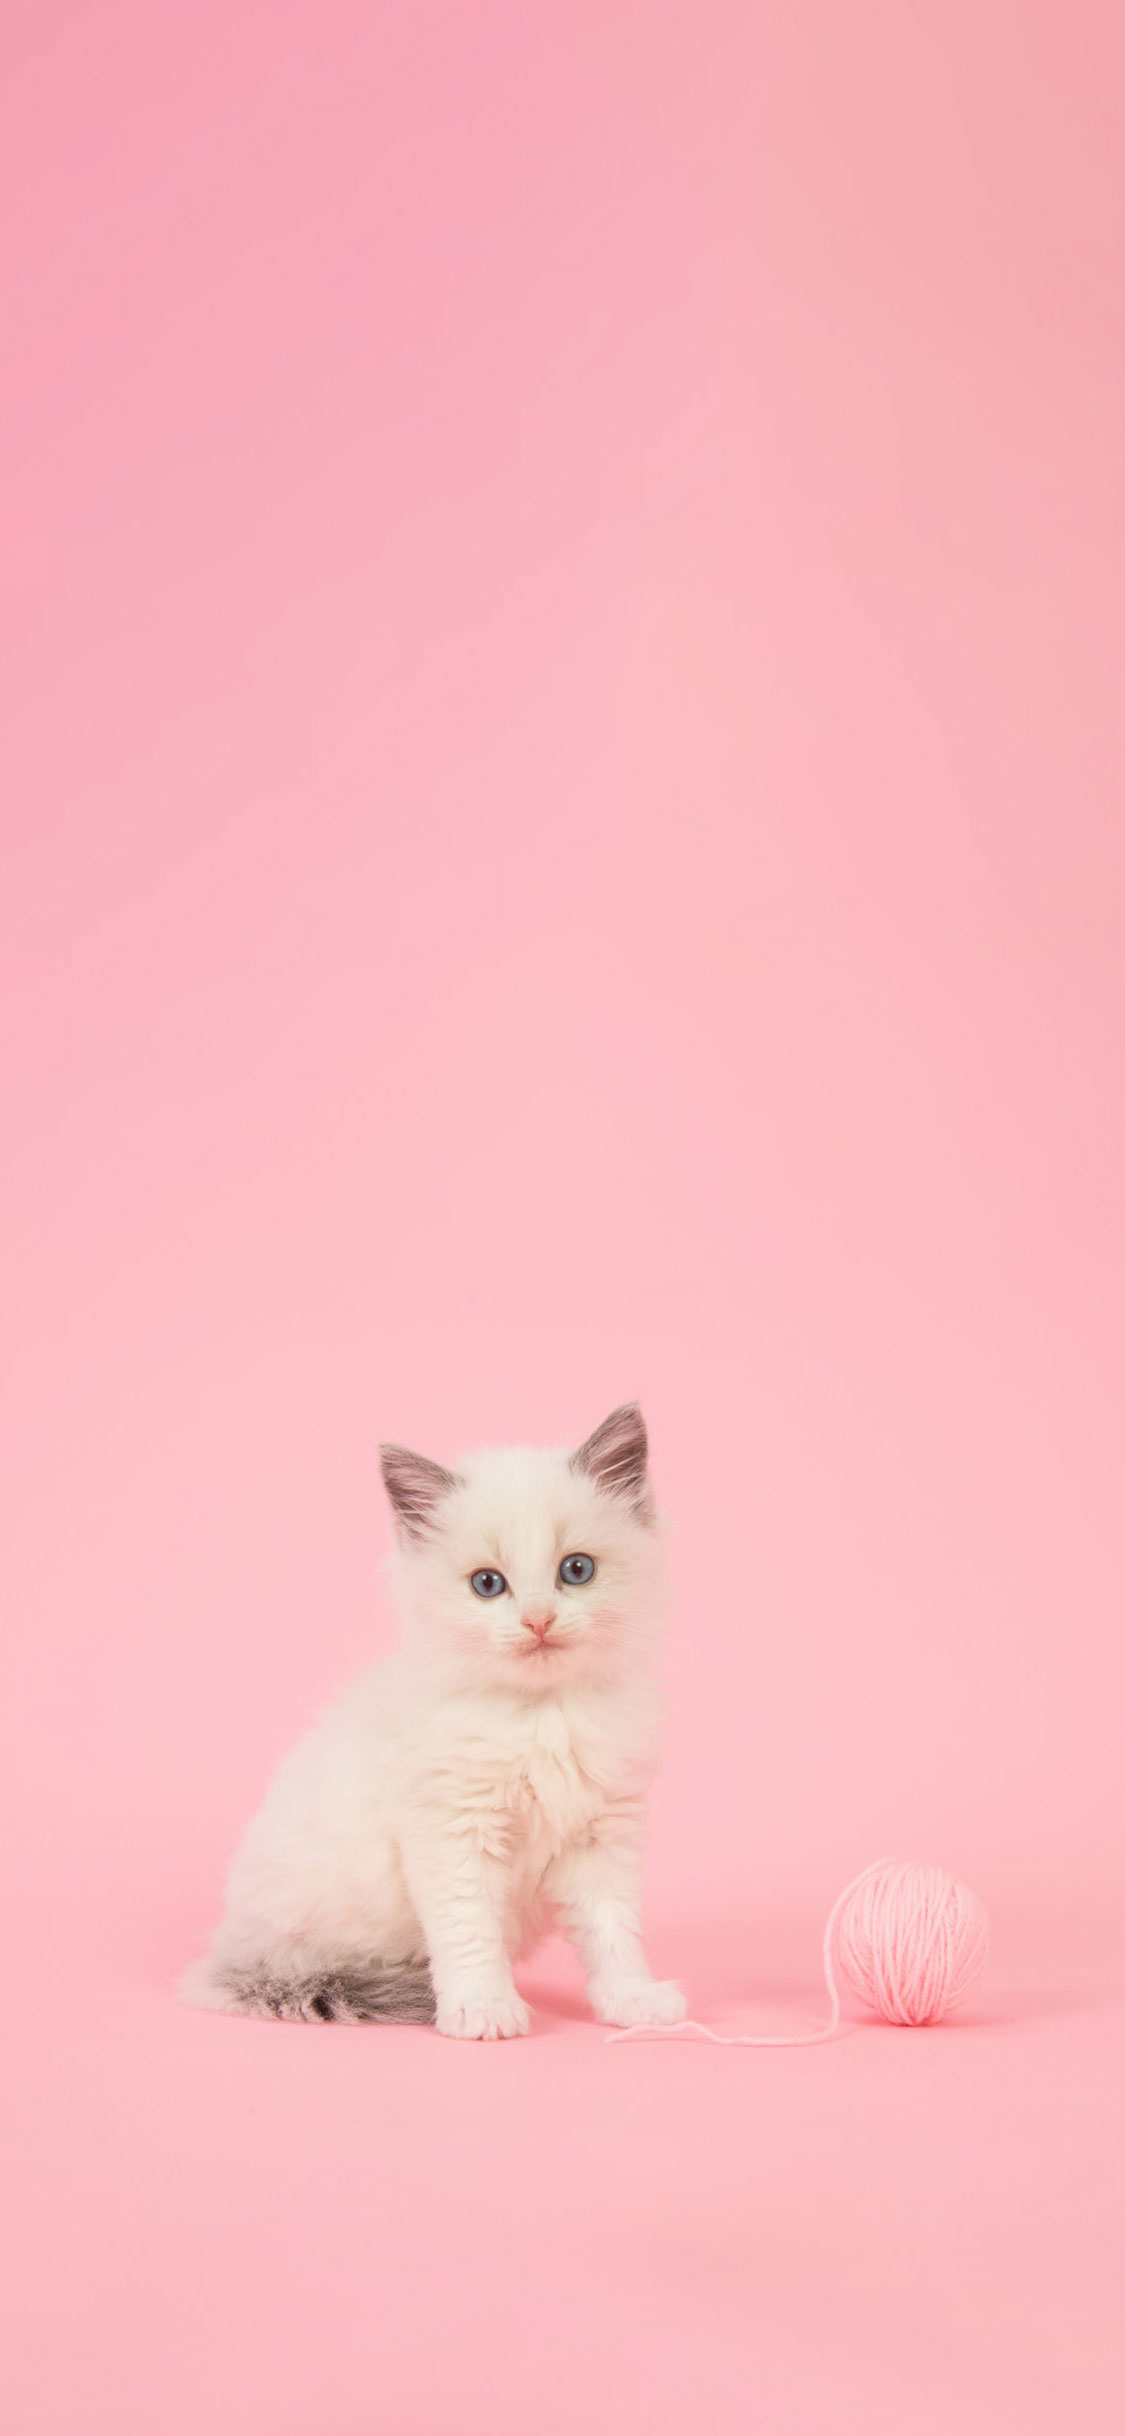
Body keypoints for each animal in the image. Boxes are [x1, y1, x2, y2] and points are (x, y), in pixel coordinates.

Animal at [182, 1412, 686, 2036]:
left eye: (577, 1570)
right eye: (487, 1584)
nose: (538, 1621)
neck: (542, 1716)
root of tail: (226, 1955)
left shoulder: (602, 1834)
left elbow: (612, 1931)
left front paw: (633, 2001)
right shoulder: (451, 1832)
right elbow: (469, 1933)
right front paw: (483, 2008)